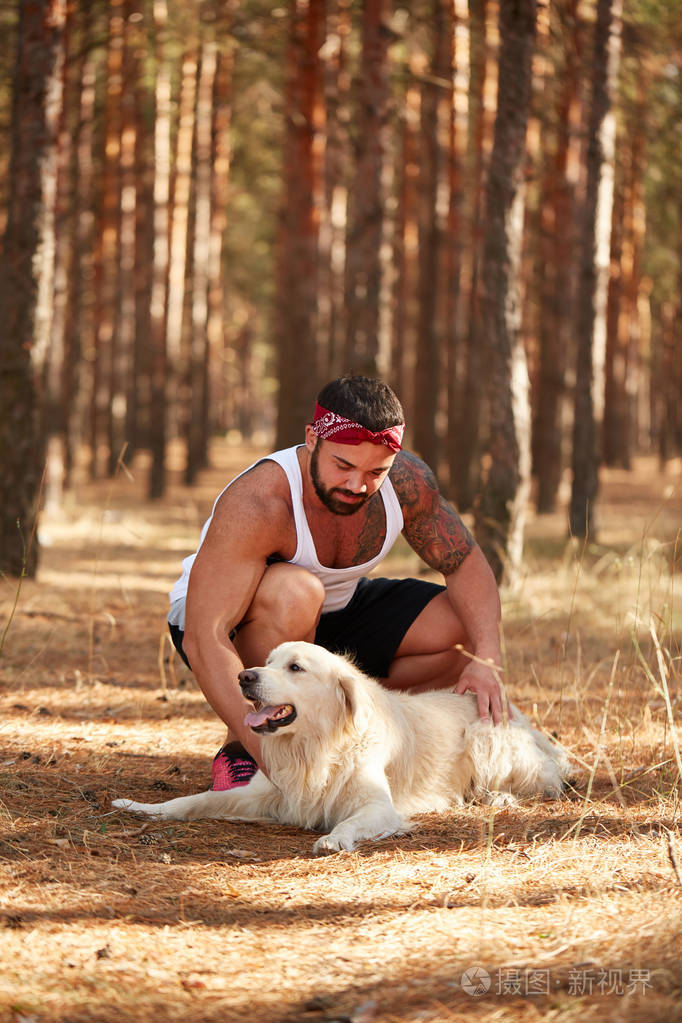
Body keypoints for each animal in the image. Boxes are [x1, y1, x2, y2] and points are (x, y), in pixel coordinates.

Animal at [113, 638, 572, 855]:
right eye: (268, 660)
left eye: (295, 668)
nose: (244, 676)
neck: (314, 748)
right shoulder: (266, 795)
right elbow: (194, 801)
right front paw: (142, 808)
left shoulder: (379, 807)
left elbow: (350, 822)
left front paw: (335, 839)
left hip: (484, 739)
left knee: (547, 782)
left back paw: (497, 797)